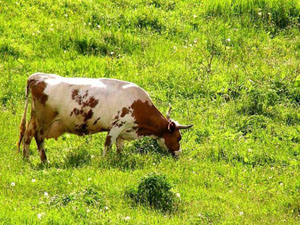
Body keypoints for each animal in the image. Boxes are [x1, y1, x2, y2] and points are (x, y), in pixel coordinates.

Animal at [17, 73, 193, 163]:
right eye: (178, 137)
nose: (179, 153)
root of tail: (38, 76)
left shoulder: (124, 130)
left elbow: (119, 147)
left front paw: (120, 159)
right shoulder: (116, 126)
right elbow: (108, 145)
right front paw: (104, 161)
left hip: (34, 118)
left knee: (27, 135)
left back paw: (26, 158)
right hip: (44, 121)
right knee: (38, 138)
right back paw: (44, 161)